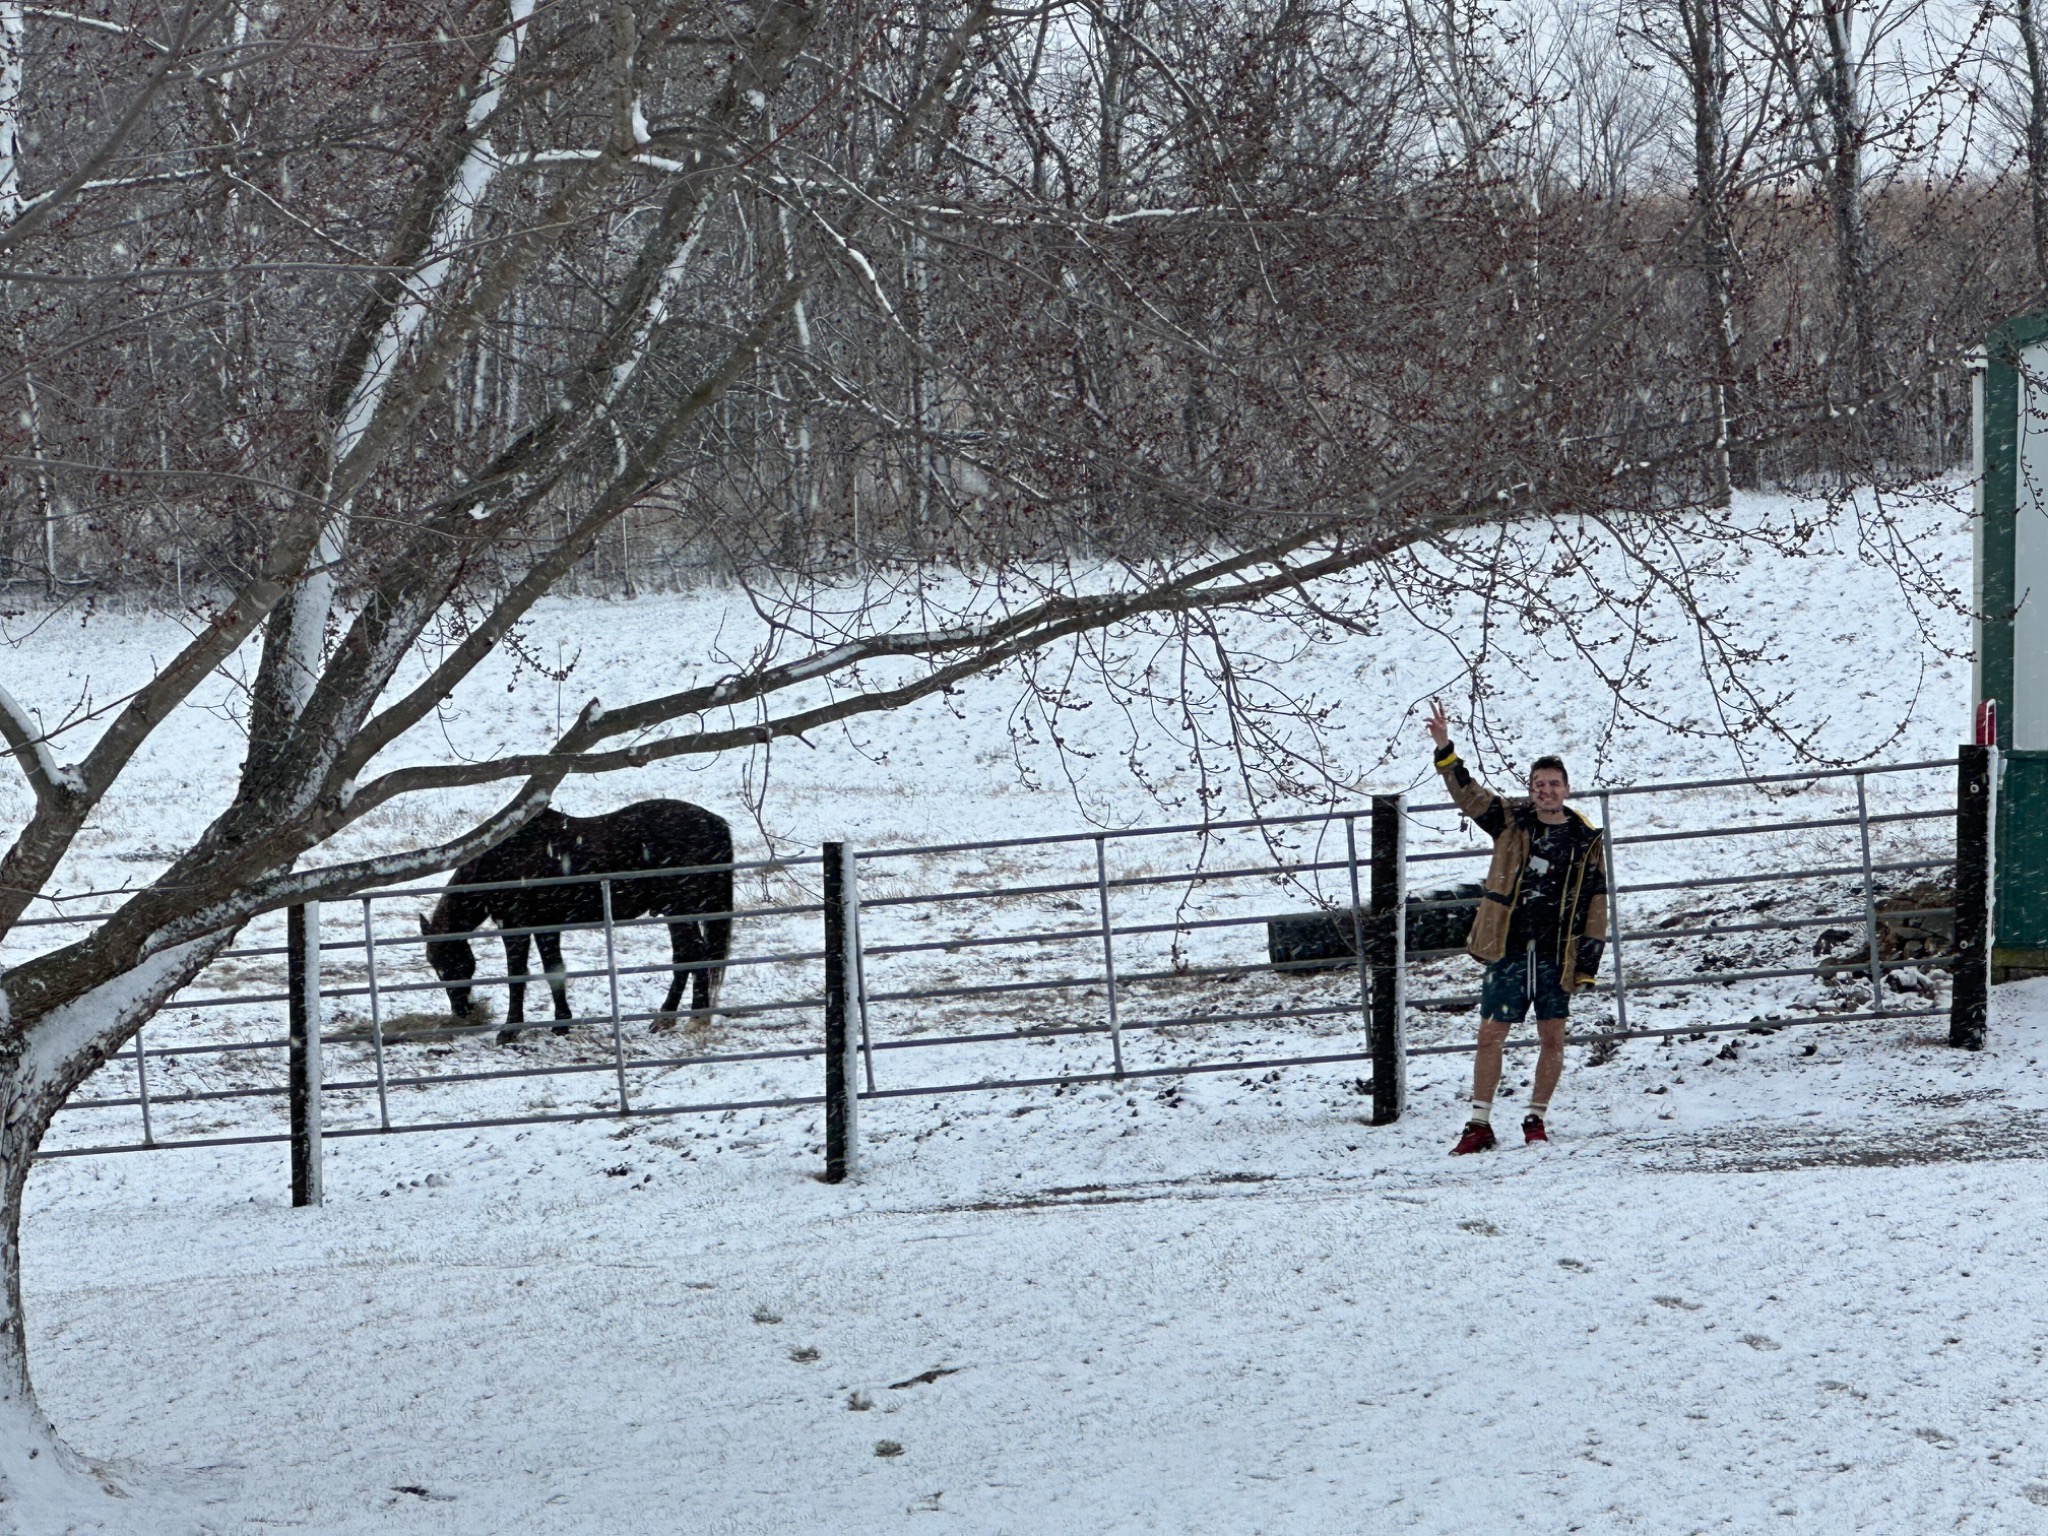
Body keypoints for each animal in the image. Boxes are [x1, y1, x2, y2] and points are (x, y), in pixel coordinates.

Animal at [418, 800, 733, 1044]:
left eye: (447, 963)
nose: (461, 1010)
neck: (503, 860)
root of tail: (713, 823)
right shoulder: (546, 927)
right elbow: (554, 971)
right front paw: (562, 1024)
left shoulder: (515, 927)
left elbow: (516, 976)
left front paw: (510, 1030)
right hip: (676, 912)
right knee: (687, 955)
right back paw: (671, 1018)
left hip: (680, 909)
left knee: (694, 954)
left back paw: (692, 1019)